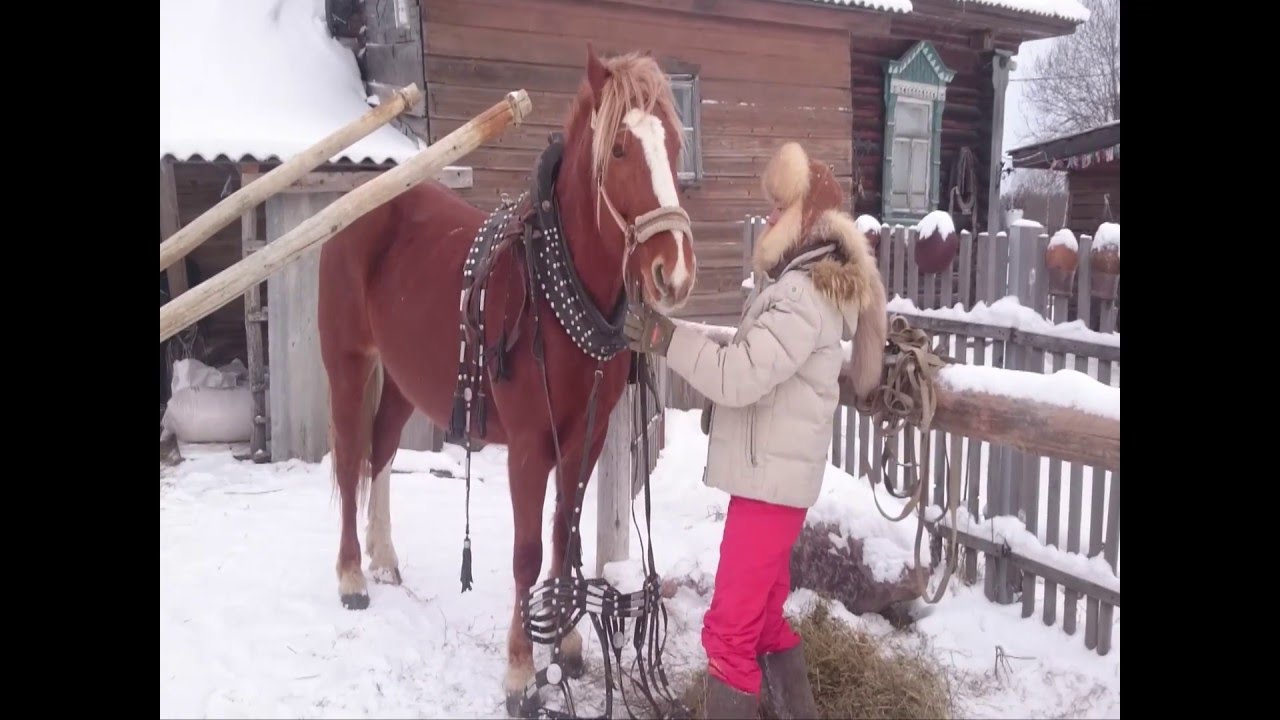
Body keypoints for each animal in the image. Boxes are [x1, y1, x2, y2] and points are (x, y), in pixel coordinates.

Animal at [318, 44, 701, 712]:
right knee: (348, 459)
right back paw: (352, 576)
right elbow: (528, 554)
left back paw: (384, 557)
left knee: (381, 450)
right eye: (619, 150)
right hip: (348, 364)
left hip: (402, 379)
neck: (555, 294)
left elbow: (566, 536)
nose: (672, 273)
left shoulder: (583, 443)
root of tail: (355, 207)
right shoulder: (528, 448)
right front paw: (521, 674)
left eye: (675, 146)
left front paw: (568, 647)